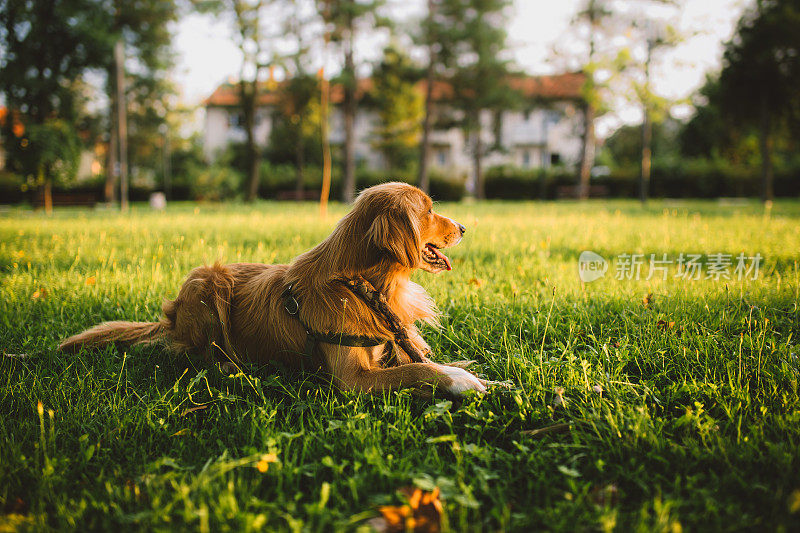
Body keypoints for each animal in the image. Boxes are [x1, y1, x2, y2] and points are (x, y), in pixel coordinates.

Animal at [59, 182, 488, 394]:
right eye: (429, 211)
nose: (465, 227)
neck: (360, 283)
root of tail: (172, 318)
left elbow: (422, 359)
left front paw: (473, 369)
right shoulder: (353, 380)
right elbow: (421, 370)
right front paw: (461, 381)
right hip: (206, 282)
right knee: (199, 353)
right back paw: (233, 366)